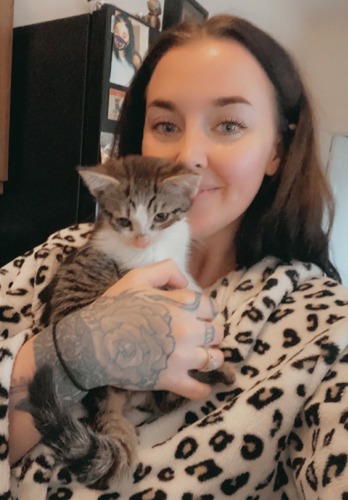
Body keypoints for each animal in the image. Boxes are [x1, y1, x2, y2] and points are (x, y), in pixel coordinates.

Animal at [29, 155, 207, 488]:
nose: (141, 238)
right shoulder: (141, 276)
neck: (153, 249)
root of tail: (101, 395)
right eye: (124, 221)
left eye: (161, 216)